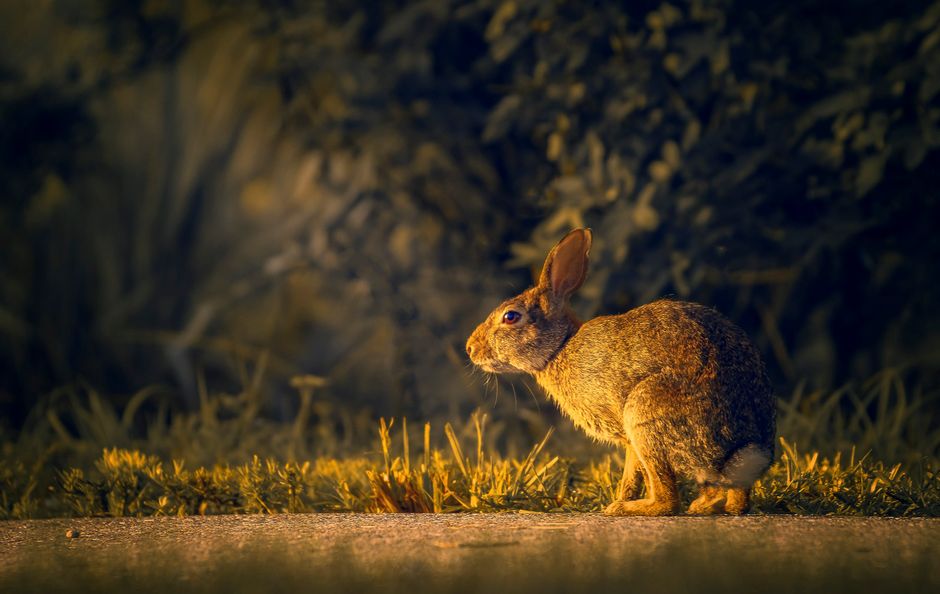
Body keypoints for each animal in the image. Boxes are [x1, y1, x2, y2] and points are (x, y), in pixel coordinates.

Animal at [466, 228, 775, 515]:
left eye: (510, 317)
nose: (471, 348)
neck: (560, 347)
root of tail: (740, 450)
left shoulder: (627, 431)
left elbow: (633, 473)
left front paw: (618, 502)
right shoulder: (629, 440)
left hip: (645, 414)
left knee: (668, 500)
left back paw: (630, 508)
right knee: (734, 497)